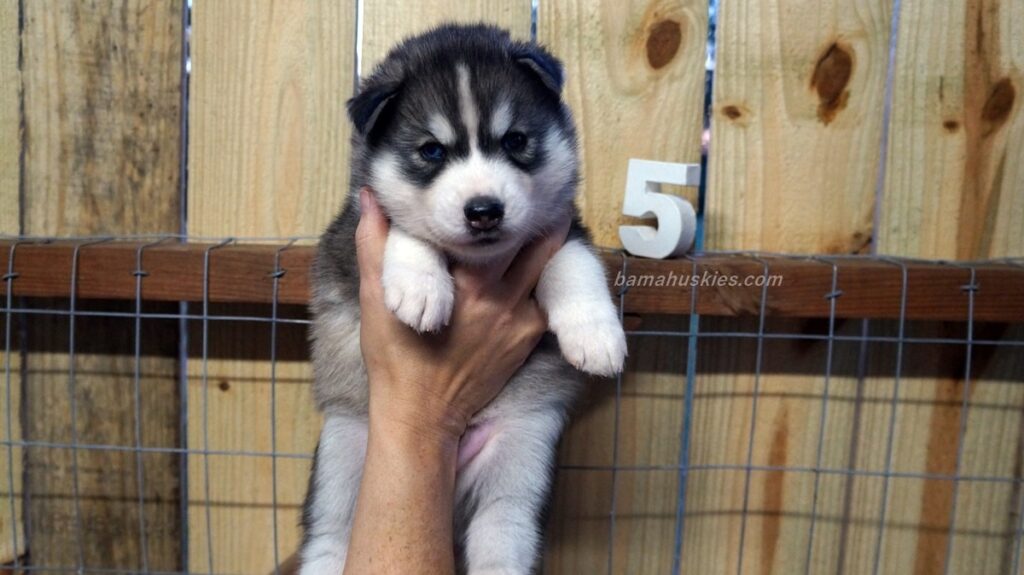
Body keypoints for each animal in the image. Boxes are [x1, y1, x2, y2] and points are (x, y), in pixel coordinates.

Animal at [300, 24, 627, 574]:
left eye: (516, 140)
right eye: (431, 151)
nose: (484, 211)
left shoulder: (561, 231)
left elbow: (575, 264)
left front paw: (595, 334)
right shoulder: (350, 238)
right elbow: (409, 230)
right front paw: (420, 285)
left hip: (519, 462)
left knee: (502, 529)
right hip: (343, 459)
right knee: (329, 538)